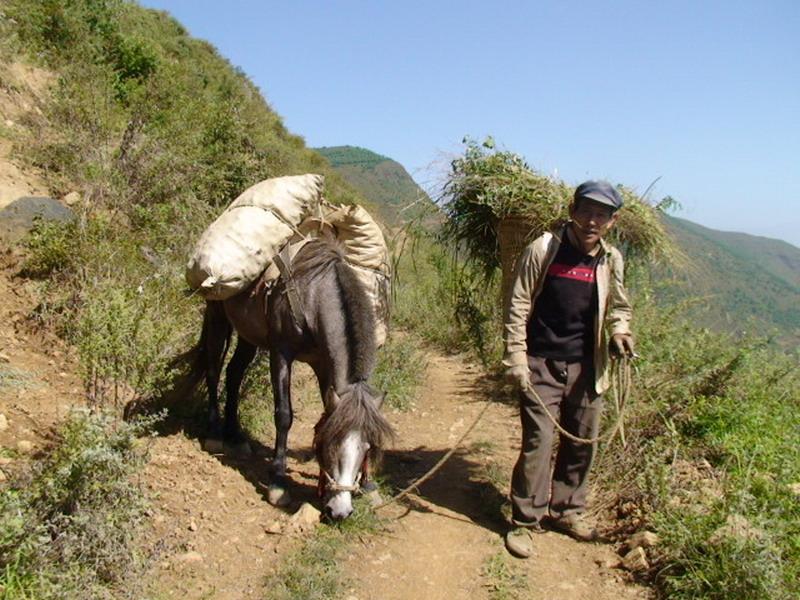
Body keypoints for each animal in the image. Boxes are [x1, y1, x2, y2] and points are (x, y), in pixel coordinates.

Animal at [188, 237, 394, 516]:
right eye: (333, 443)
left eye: (367, 448)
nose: (340, 511)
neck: (313, 295)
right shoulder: (281, 354)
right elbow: (284, 415)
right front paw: (278, 482)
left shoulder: (322, 363)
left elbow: (326, 413)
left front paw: (366, 486)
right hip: (217, 314)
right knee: (213, 368)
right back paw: (214, 434)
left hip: (248, 334)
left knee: (233, 373)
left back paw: (236, 435)